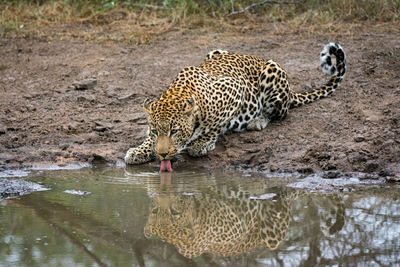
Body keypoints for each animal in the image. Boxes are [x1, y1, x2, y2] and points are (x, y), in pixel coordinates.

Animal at [126, 42, 346, 172]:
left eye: (174, 131)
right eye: (155, 131)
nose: (162, 155)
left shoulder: (235, 88)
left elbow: (216, 124)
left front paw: (201, 143)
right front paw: (139, 150)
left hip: (273, 72)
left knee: (280, 113)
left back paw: (258, 121)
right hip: (214, 51)